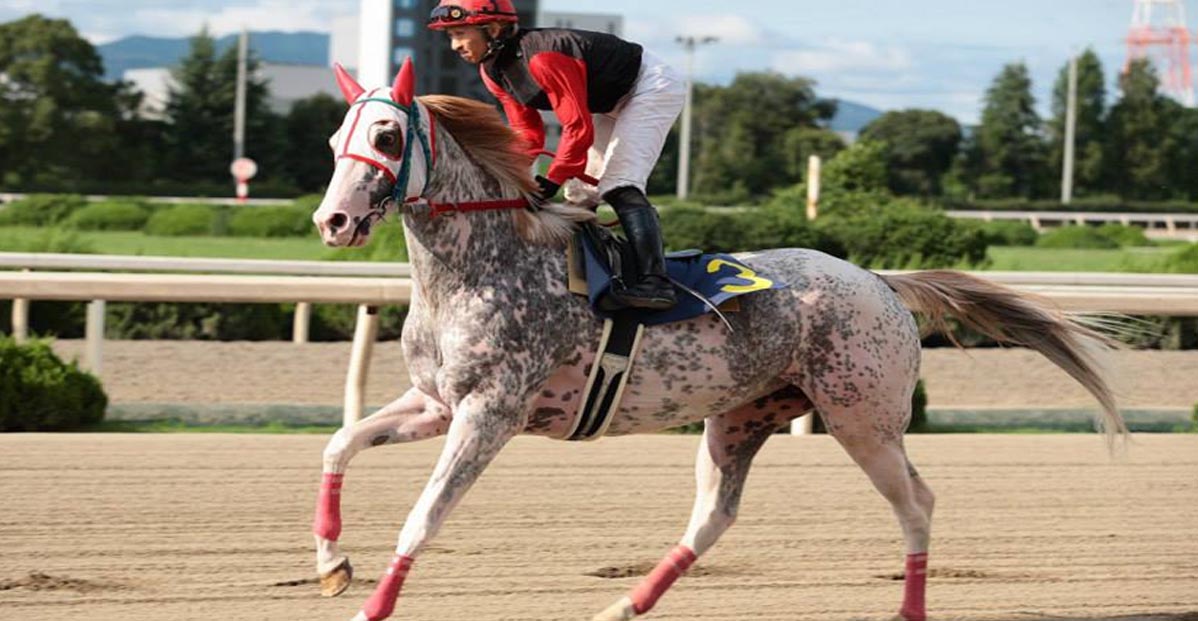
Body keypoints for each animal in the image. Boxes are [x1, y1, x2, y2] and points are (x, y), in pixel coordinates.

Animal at [306, 60, 1121, 621]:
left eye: (386, 135)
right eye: (335, 137)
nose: (332, 221)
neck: (486, 263)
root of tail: (880, 278)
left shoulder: (492, 411)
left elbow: (423, 515)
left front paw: (371, 605)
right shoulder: (437, 403)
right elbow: (339, 444)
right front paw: (332, 564)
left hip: (862, 415)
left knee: (916, 501)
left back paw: (908, 609)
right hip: (741, 415)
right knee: (714, 514)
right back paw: (622, 605)